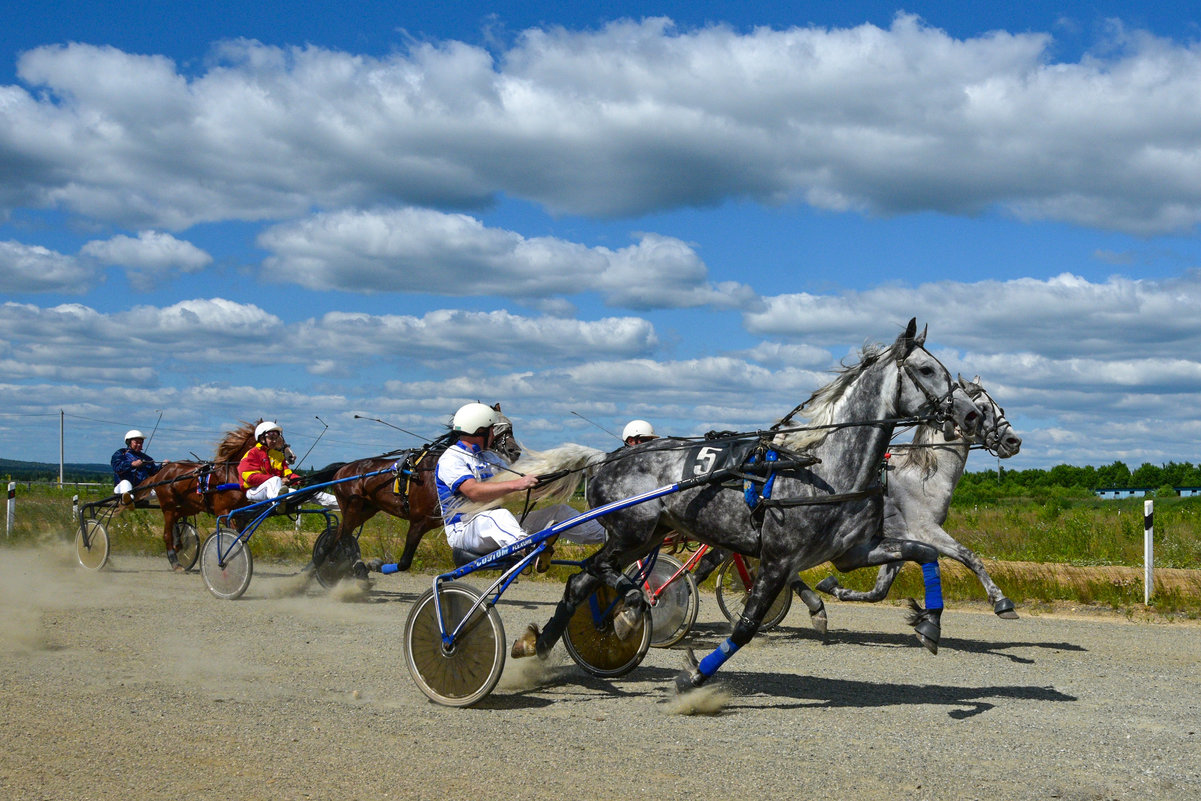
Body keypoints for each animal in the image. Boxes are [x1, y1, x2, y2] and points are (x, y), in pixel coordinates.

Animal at [502, 319, 980, 696]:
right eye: (927, 370)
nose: (971, 415)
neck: (823, 468)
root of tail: (604, 458)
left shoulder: (853, 553)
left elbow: (924, 553)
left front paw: (930, 625)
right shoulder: (778, 559)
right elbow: (746, 626)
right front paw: (692, 678)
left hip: (645, 537)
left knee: (579, 583)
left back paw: (544, 643)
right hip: (630, 531)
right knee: (596, 571)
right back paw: (629, 608)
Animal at [807, 379, 1023, 619]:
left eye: (1000, 408)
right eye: (982, 409)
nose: (1013, 441)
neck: (922, 475)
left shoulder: (901, 539)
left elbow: (879, 591)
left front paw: (834, 588)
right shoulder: (925, 530)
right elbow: (970, 557)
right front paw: (1001, 601)